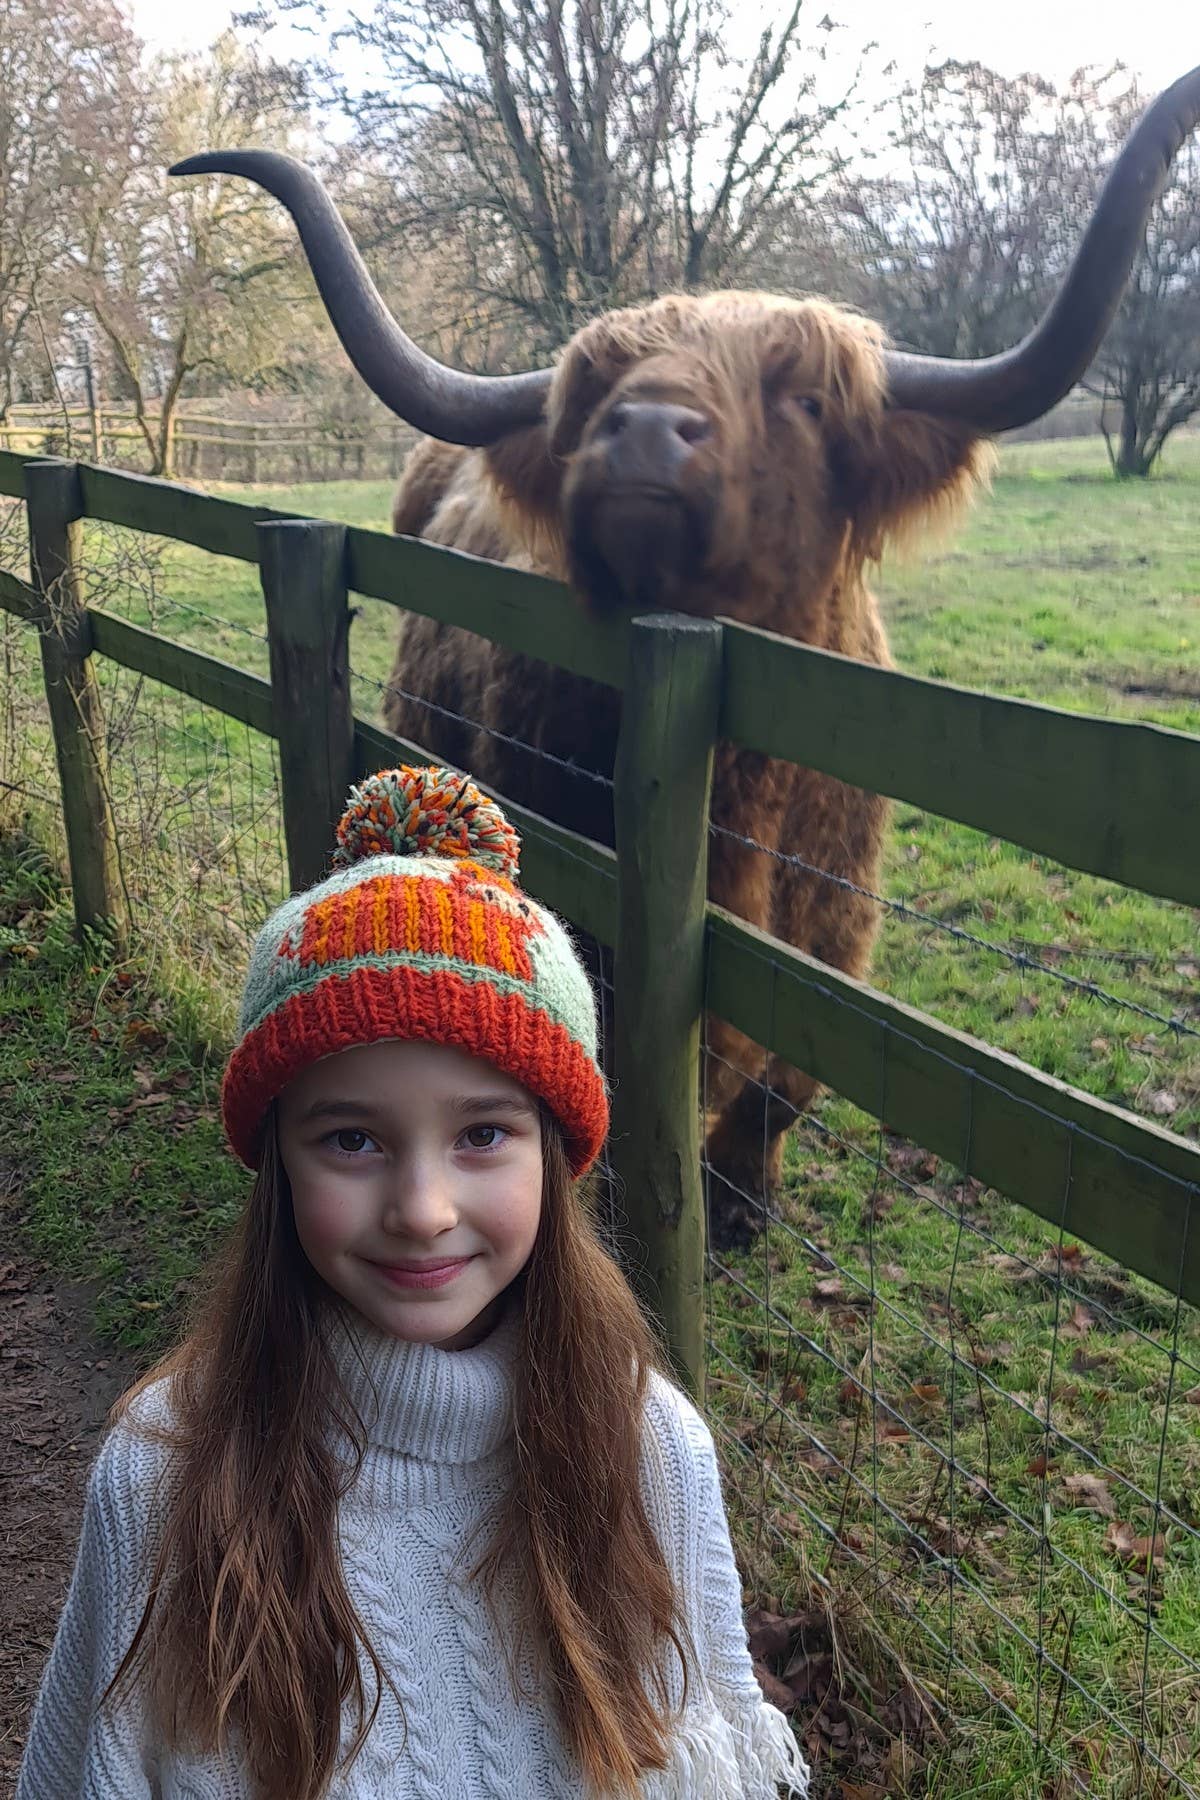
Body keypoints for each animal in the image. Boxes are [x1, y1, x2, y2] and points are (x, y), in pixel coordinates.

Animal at [171, 64, 1200, 1246]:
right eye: (589, 399)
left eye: (804, 398)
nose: (646, 428)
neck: (734, 785)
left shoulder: (834, 936)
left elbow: (781, 1084)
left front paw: (744, 1206)